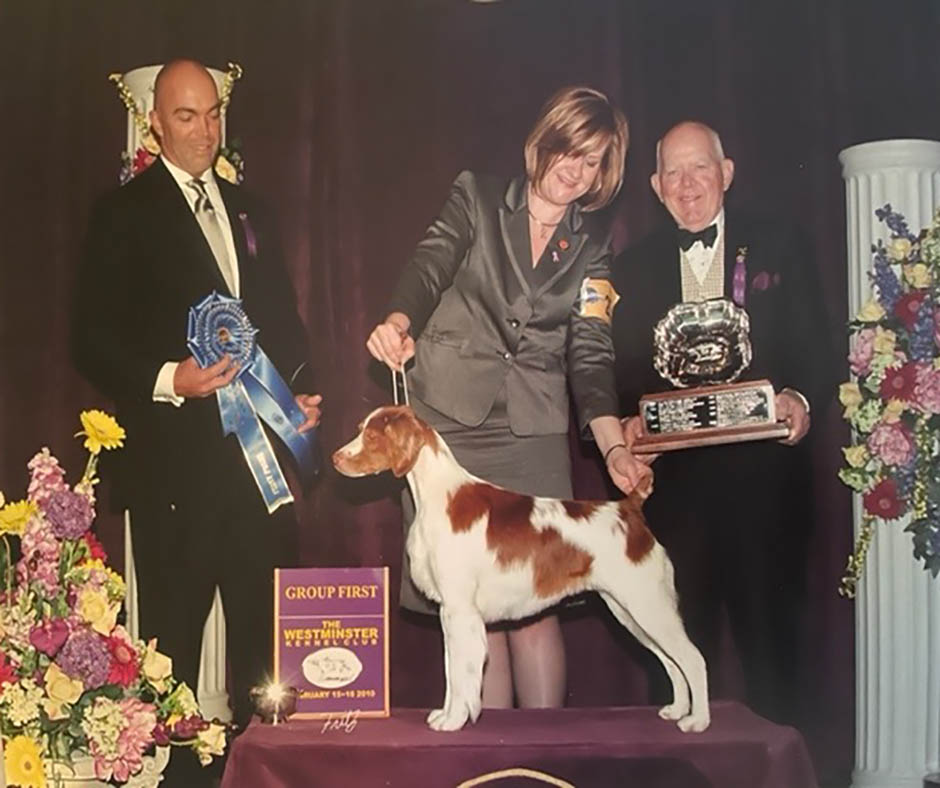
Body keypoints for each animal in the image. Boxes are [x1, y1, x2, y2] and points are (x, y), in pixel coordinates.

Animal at [334, 406, 708, 732]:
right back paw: (677, 710)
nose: (336, 457)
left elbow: (462, 670)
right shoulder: (449, 612)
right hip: (628, 610)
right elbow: (451, 670)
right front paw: (446, 714)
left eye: (371, 436)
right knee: (671, 661)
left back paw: (698, 721)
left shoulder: (460, 610)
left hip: (647, 604)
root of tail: (629, 510)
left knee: (692, 659)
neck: (439, 497)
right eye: (360, 430)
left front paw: (454, 721)